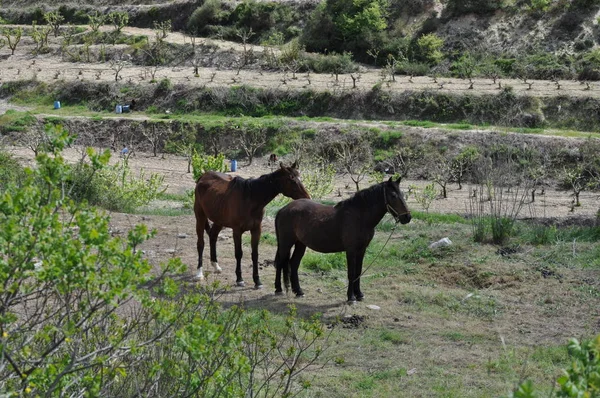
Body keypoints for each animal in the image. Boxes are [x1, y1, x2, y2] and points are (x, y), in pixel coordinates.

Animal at [196, 160, 310, 288]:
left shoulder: (256, 230)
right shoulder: (237, 231)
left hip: (219, 220)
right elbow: (238, 253)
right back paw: (199, 273)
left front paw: (257, 281)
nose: (307, 197)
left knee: (213, 236)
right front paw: (239, 279)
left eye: (299, 177)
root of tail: (203, 176)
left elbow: (255, 254)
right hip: (200, 216)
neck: (250, 199)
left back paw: (216, 265)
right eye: (292, 180)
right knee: (200, 243)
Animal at [274, 176, 410, 304]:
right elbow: (351, 273)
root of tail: (283, 209)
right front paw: (351, 298)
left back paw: (299, 291)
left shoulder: (361, 250)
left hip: (301, 244)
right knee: (280, 263)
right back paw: (278, 290)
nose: (407, 217)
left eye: (402, 194)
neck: (360, 216)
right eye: (393, 195)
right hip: (286, 243)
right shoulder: (351, 250)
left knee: (294, 264)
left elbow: (358, 272)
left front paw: (359, 294)